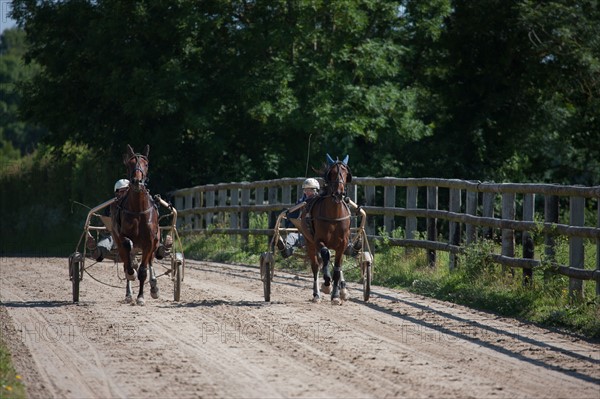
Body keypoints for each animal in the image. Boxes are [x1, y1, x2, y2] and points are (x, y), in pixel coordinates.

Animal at [110, 145, 159, 304]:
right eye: (129, 164)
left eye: (146, 164)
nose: (137, 181)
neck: (138, 209)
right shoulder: (121, 235)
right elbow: (127, 250)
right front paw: (131, 274)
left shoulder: (149, 241)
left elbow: (143, 270)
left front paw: (141, 297)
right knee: (127, 259)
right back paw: (129, 291)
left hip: (155, 242)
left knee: (150, 260)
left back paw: (154, 287)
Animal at [304, 155, 352, 304]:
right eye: (332, 173)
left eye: (346, 173)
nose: (339, 193)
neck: (334, 215)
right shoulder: (318, 241)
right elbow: (325, 255)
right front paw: (326, 284)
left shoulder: (342, 245)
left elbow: (337, 269)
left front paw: (336, 295)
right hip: (309, 243)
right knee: (316, 266)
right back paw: (316, 294)